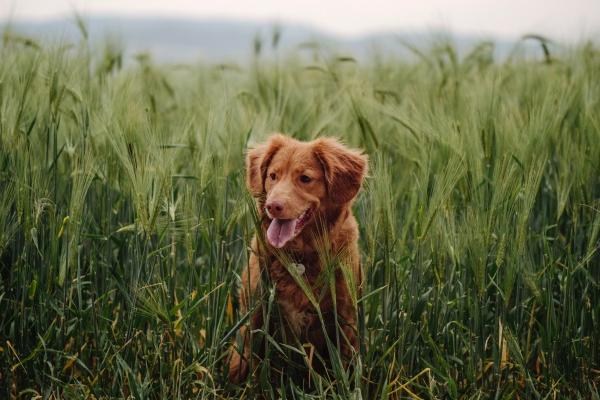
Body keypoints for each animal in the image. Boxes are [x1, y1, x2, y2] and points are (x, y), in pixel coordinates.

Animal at [230, 133, 368, 382]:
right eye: (273, 176)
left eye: (305, 178)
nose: (272, 206)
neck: (299, 257)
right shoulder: (254, 313)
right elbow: (244, 361)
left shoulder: (345, 319)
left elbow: (344, 367)